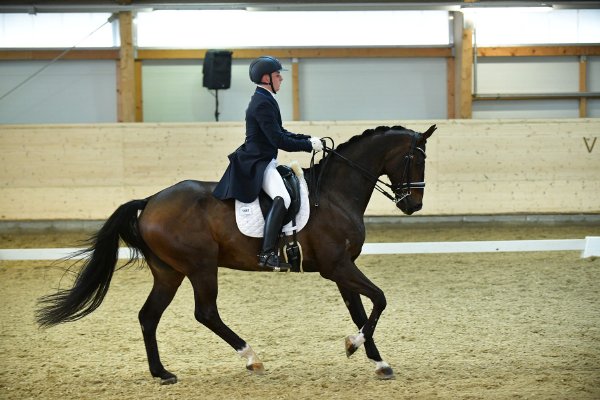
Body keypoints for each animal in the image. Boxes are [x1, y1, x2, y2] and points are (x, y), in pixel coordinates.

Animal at [37, 123, 436, 382]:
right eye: (415, 159)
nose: (413, 205)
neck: (335, 194)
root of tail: (150, 201)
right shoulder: (337, 266)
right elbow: (379, 300)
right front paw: (355, 346)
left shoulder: (342, 268)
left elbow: (360, 311)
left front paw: (377, 361)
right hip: (200, 266)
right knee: (205, 312)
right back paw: (251, 359)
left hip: (169, 272)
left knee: (149, 316)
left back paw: (161, 373)